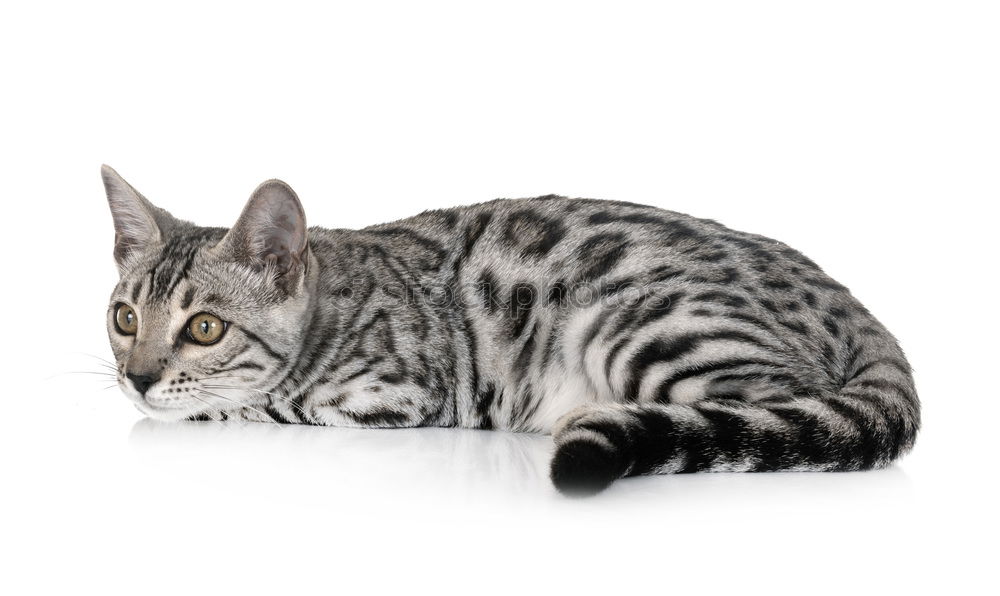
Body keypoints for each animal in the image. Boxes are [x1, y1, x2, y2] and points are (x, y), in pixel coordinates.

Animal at [103, 163, 920, 494]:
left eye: (205, 327)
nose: (136, 377)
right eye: (124, 318)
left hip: (639, 321)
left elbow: (254, 401)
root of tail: (846, 299)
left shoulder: (399, 390)